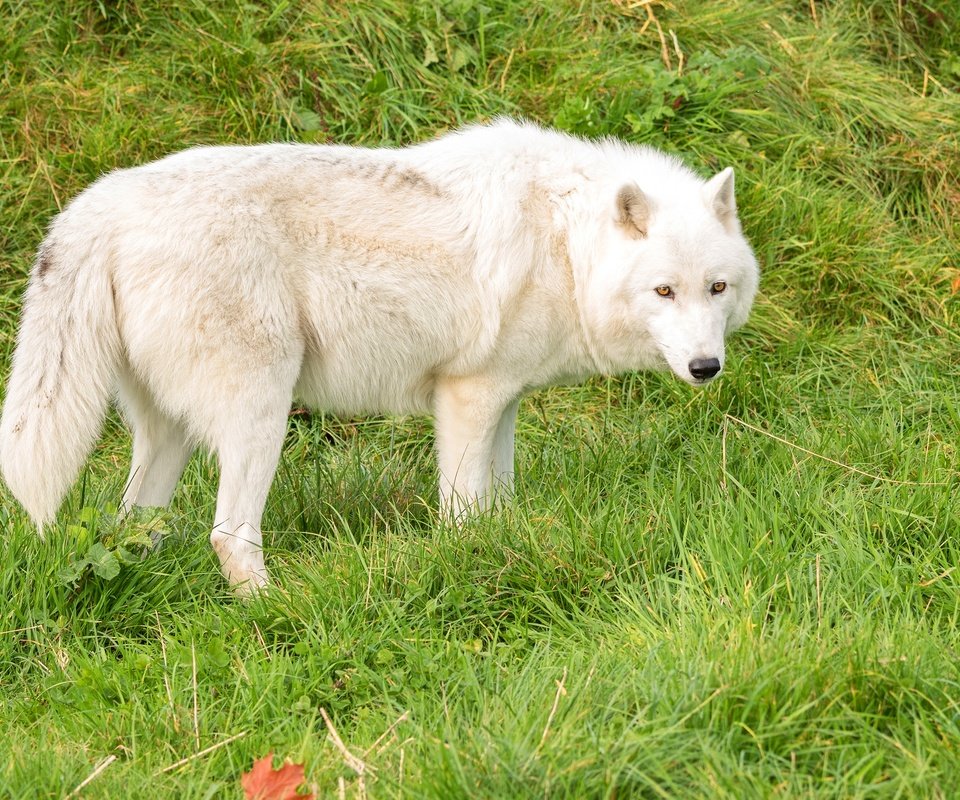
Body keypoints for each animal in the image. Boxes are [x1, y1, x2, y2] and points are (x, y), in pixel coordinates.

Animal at [0, 119, 756, 592]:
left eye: (716, 288)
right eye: (663, 290)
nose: (705, 369)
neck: (568, 244)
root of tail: (100, 204)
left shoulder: (502, 401)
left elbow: (500, 501)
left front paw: (504, 549)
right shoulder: (466, 395)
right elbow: (462, 512)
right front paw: (468, 564)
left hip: (170, 438)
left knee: (133, 526)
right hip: (259, 415)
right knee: (229, 535)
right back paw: (274, 607)